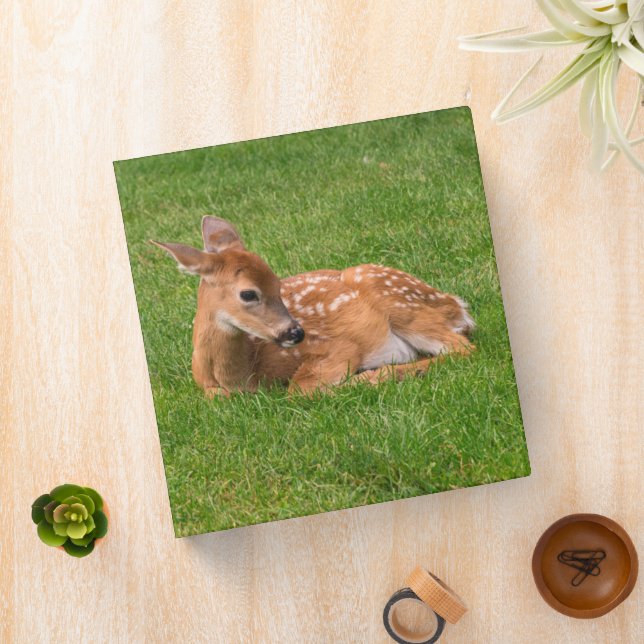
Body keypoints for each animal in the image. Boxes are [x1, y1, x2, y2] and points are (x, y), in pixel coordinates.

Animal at [152, 216, 475, 397]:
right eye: (248, 293)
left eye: (278, 282)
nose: (296, 333)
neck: (242, 376)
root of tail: (455, 304)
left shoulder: (337, 347)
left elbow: (299, 389)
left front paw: (371, 376)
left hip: (399, 303)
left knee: (461, 348)